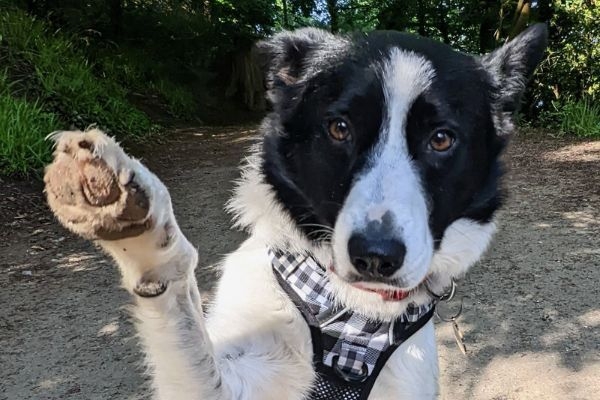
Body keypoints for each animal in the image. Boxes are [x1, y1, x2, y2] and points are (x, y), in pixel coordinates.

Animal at [43, 23, 548, 398]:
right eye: (339, 127)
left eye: (441, 138)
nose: (376, 257)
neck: (350, 321)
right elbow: (184, 319)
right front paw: (144, 237)